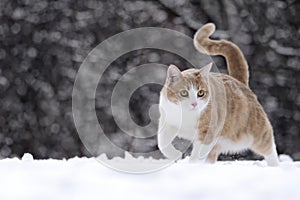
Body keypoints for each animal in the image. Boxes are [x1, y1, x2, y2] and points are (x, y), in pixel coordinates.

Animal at [157, 22, 278, 166]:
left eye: (201, 93)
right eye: (184, 93)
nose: (194, 104)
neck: (187, 116)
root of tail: (238, 81)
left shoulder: (208, 132)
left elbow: (198, 153)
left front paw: (192, 165)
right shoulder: (167, 119)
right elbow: (162, 141)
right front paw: (175, 154)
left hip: (256, 132)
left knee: (269, 147)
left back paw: (275, 166)